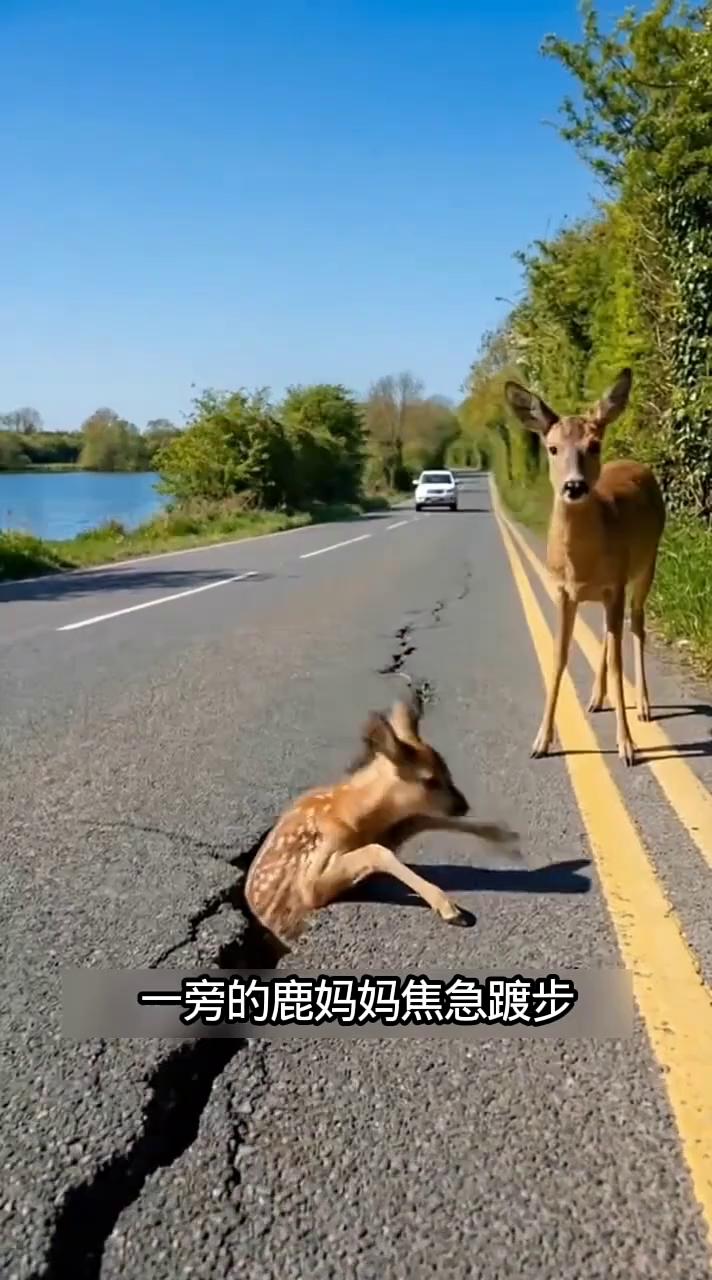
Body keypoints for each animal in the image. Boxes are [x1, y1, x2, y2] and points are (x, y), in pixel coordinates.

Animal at [244, 693, 519, 948]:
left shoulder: (391, 829)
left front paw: (503, 836)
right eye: (430, 780)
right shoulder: (310, 885)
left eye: (448, 770)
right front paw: (448, 907)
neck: (356, 814)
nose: (463, 805)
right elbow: (378, 851)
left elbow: (422, 820)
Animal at [504, 367, 666, 767]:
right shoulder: (564, 591)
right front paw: (541, 740)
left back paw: (643, 706)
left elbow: (619, 656)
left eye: (593, 445)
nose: (574, 486)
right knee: (610, 636)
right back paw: (595, 697)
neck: (581, 563)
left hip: (646, 566)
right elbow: (558, 656)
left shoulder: (616, 584)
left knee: (636, 626)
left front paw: (627, 746)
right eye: (552, 448)